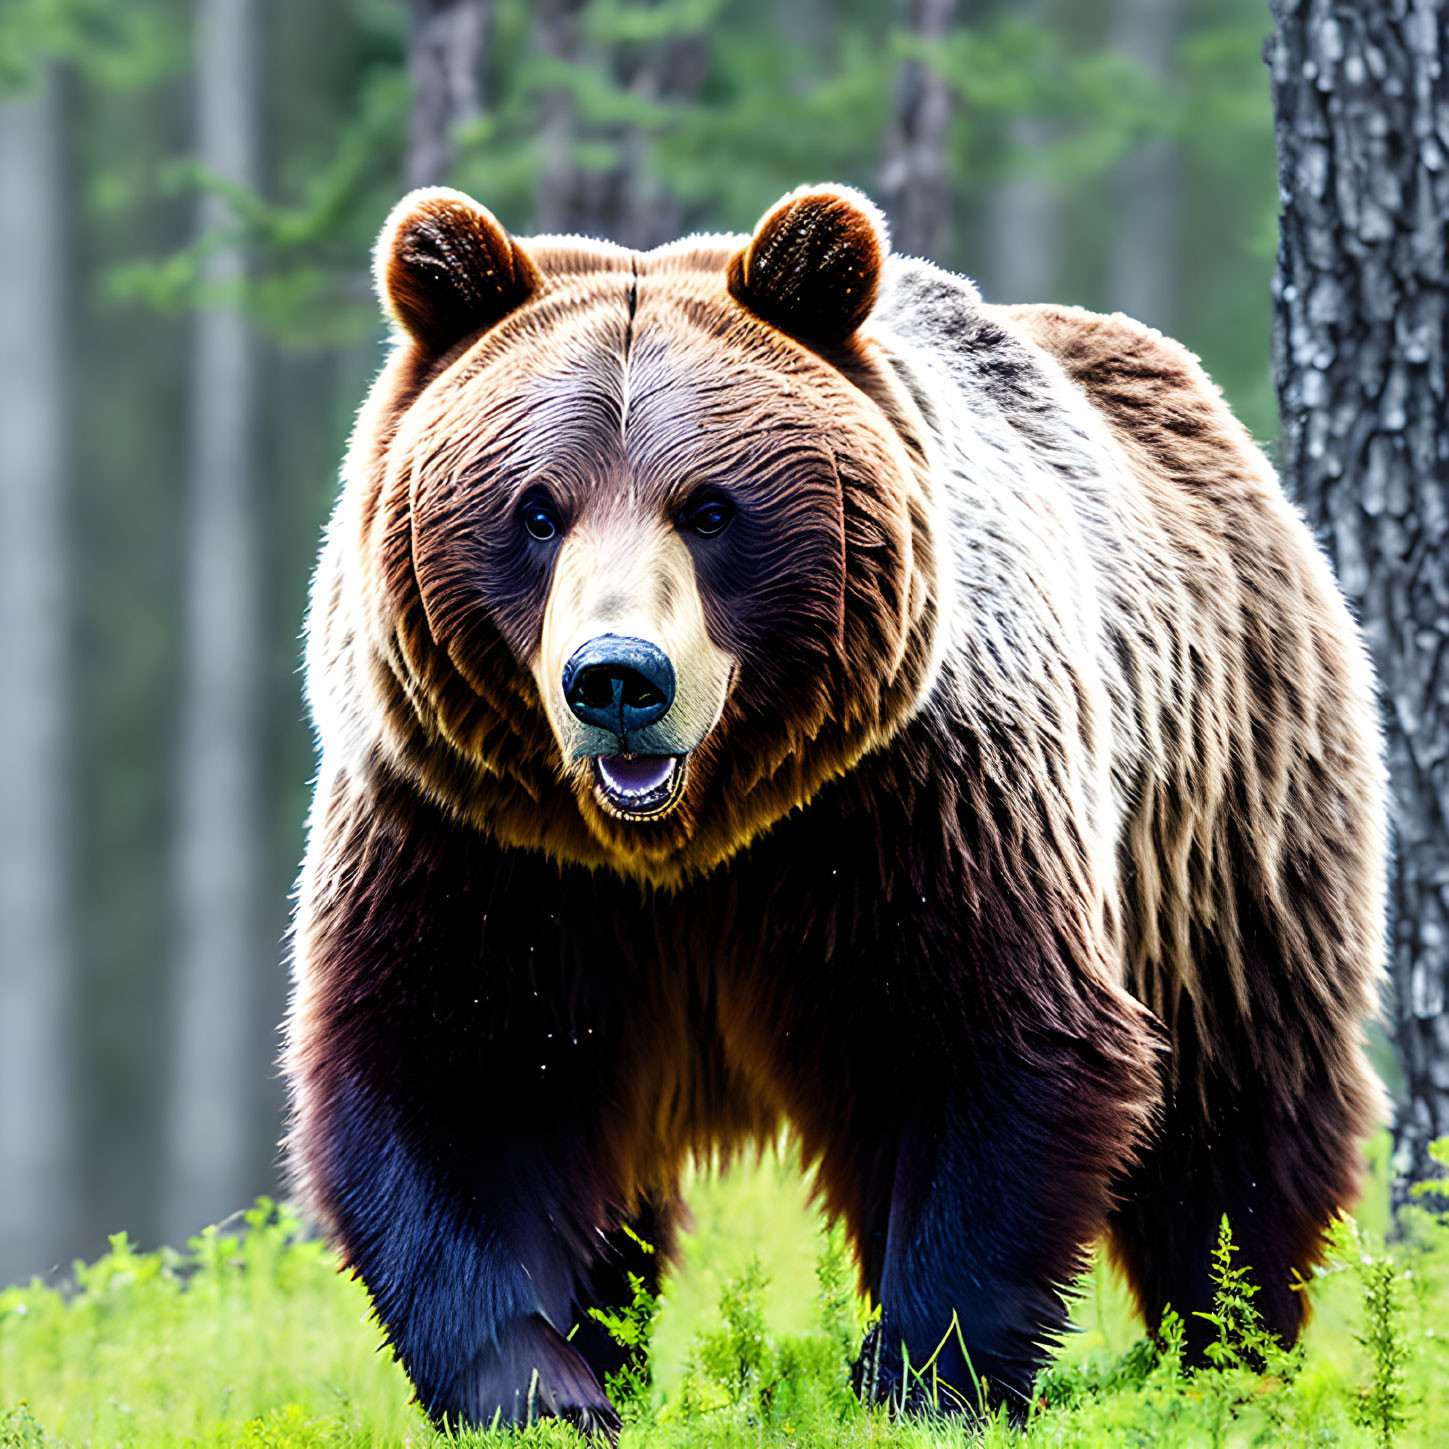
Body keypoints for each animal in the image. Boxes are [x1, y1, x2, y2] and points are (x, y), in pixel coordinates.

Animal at [279, 184, 1379, 1437]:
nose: (617, 678)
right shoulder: (475, 837)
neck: (685, 841)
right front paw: (547, 1389)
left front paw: (922, 1380)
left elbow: (995, 1050)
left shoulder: (913, 801)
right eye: (537, 511)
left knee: (1239, 1101)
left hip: (1228, 804)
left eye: (710, 508)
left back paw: (1231, 1348)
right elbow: (454, 1080)